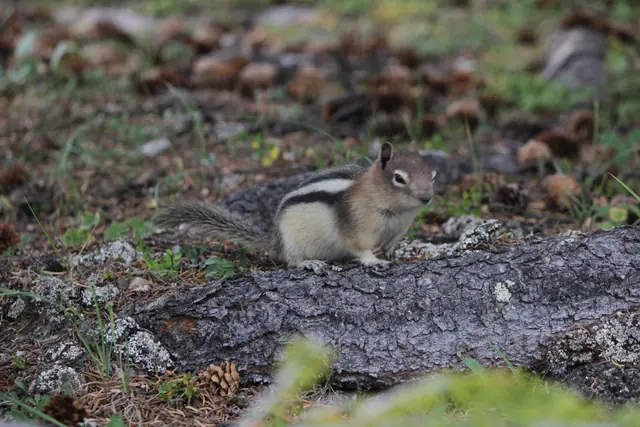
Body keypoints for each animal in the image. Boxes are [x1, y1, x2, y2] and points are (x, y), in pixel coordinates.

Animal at [153, 141, 436, 273]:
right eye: (399, 178)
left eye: (432, 174)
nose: (427, 198)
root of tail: (275, 240)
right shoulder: (355, 227)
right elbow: (360, 248)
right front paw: (374, 260)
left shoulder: (399, 229)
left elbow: (391, 244)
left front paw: (392, 253)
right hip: (293, 242)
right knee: (289, 260)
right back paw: (308, 263)